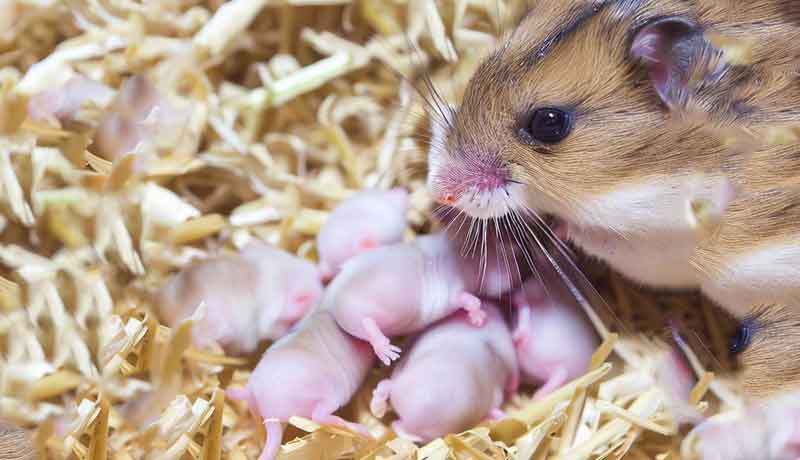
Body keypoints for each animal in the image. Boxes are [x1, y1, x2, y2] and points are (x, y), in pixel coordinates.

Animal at [324, 234, 484, 366]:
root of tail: (334, 296)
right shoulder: (452, 293)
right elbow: (470, 301)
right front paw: (479, 317)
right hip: (361, 314)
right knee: (368, 324)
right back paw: (385, 349)